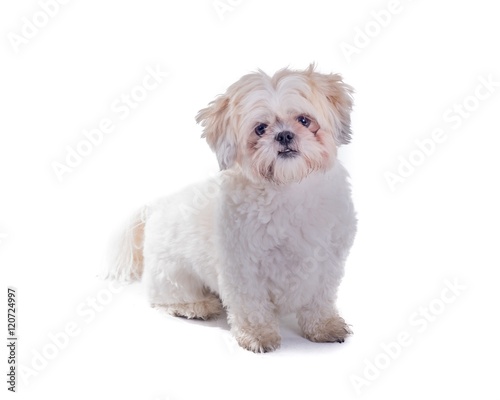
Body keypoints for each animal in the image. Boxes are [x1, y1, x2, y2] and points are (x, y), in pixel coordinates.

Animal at [107, 64, 358, 352]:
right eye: (260, 128)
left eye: (304, 120)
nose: (284, 135)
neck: (289, 189)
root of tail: (155, 207)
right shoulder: (243, 267)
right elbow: (251, 305)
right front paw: (258, 335)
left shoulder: (326, 263)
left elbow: (319, 300)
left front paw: (324, 327)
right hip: (171, 275)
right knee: (165, 298)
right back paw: (197, 306)